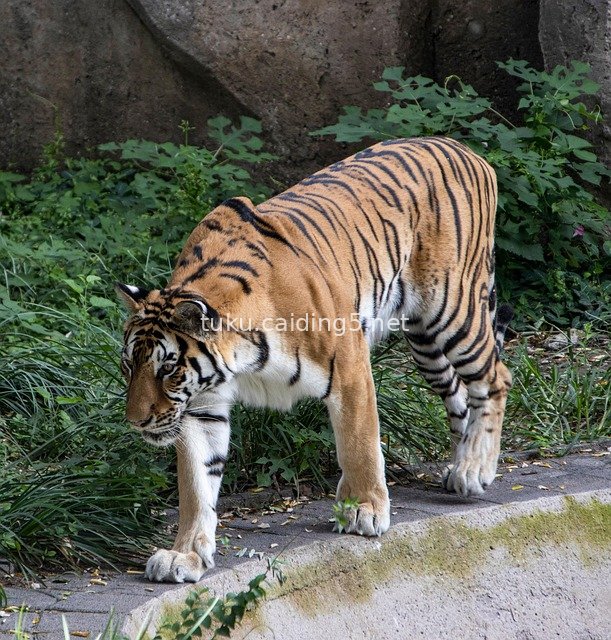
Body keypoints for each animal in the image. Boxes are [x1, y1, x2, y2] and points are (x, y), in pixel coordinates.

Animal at [116, 136, 513, 583]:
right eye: (129, 365)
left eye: (167, 368)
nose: (136, 422)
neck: (241, 358)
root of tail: (464, 148)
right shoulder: (201, 405)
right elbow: (196, 485)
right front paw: (183, 555)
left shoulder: (350, 366)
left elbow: (359, 444)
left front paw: (364, 509)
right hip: (425, 343)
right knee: (460, 395)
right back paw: (459, 465)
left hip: (453, 310)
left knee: (496, 377)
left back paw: (475, 469)